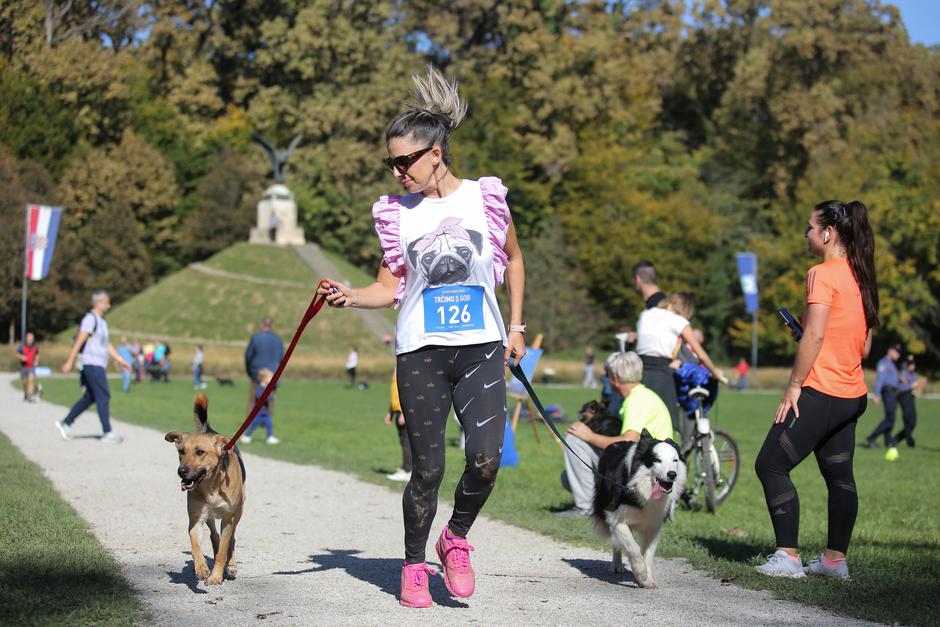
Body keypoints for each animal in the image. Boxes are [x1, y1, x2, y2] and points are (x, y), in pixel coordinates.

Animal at [165, 395, 246, 585]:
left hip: (239, 511)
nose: (181, 471)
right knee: (214, 536)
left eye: (200, 452)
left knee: (231, 539)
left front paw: (216, 576)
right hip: (209, 516)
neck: (212, 485)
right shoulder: (196, 518)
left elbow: (224, 549)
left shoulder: (228, 518)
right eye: (181, 451)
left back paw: (231, 565)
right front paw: (202, 569)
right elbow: (196, 546)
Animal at [592, 429, 686, 588]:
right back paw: (617, 565)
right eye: (657, 460)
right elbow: (633, 547)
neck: (642, 488)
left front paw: (647, 580)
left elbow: (648, 553)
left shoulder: (653, 525)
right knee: (617, 542)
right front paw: (640, 573)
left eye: (675, 460)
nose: (672, 474)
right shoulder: (616, 519)